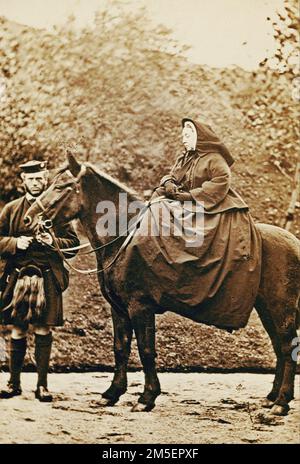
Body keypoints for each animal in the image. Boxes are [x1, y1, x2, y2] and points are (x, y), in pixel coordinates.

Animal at [24, 154, 298, 416]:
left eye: (62, 186)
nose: (28, 219)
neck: (124, 237)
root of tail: (294, 242)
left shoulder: (140, 307)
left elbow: (146, 350)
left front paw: (147, 398)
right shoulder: (118, 308)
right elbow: (120, 348)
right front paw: (112, 393)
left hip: (281, 310)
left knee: (288, 347)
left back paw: (281, 403)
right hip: (267, 310)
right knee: (279, 348)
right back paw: (271, 398)